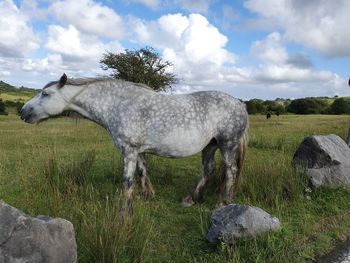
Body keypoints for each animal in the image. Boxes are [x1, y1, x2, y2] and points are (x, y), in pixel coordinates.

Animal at [20, 75, 249, 211]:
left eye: (46, 94)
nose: (23, 112)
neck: (118, 104)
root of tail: (240, 104)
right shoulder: (138, 151)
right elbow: (142, 172)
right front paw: (147, 196)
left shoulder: (128, 151)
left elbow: (128, 181)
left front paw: (125, 211)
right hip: (210, 146)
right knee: (208, 169)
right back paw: (192, 199)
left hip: (227, 144)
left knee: (231, 170)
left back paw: (223, 202)